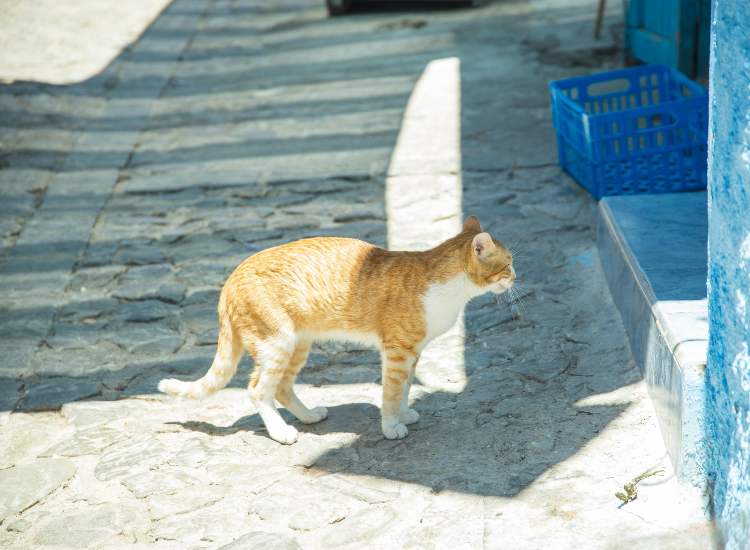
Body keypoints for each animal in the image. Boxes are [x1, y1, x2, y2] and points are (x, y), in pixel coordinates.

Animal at [157, 218, 512, 446]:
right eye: (508, 263)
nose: (516, 276)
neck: (449, 288)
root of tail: (231, 279)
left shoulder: (413, 353)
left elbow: (405, 389)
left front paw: (403, 414)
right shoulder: (397, 352)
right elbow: (390, 392)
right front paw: (390, 426)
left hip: (298, 343)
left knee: (282, 387)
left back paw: (309, 416)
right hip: (277, 342)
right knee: (258, 390)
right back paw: (281, 432)